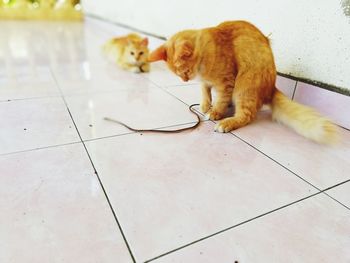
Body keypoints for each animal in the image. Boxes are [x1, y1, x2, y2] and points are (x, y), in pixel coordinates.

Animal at [148, 20, 340, 144]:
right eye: (179, 75)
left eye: (184, 72)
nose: (185, 80)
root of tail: (272, 87)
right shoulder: (206, 82)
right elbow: (205, 91)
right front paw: (205, 105)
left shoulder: (226, 82)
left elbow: (220, 100)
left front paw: (215, 112)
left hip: (244, 86)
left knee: (246, 115)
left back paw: (226, 122)